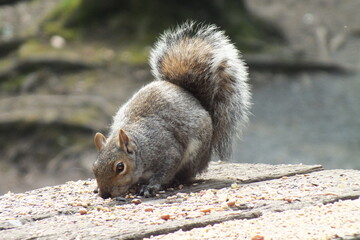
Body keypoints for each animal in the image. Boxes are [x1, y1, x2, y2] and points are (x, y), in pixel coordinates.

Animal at [92, 21, 250, 199]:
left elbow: (165, 171)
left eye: (120, 167)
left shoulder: (167, 151)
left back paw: (175, 181)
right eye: (94, 167)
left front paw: (151, 186)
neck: (142, 147)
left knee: (186, 175)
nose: (105, 194)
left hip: (195, 154)